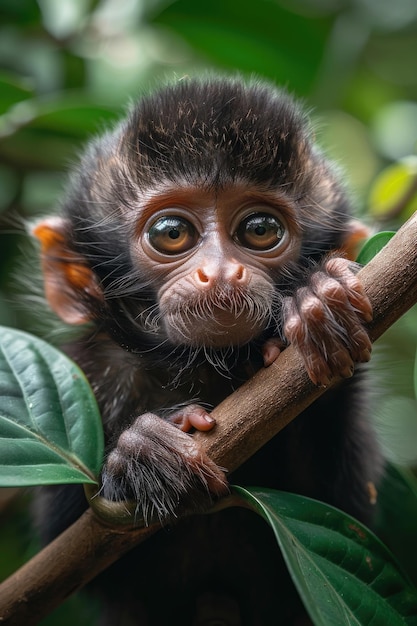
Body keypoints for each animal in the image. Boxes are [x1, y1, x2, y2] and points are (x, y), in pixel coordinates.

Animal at [35, 78, 380, 624]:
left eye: (260, 229)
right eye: (171, 233)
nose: (220, 272)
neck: (199, 368)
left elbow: (344, 510)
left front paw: (319, 303)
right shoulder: (91, 373)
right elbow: (70, 553)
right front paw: (141, 452)